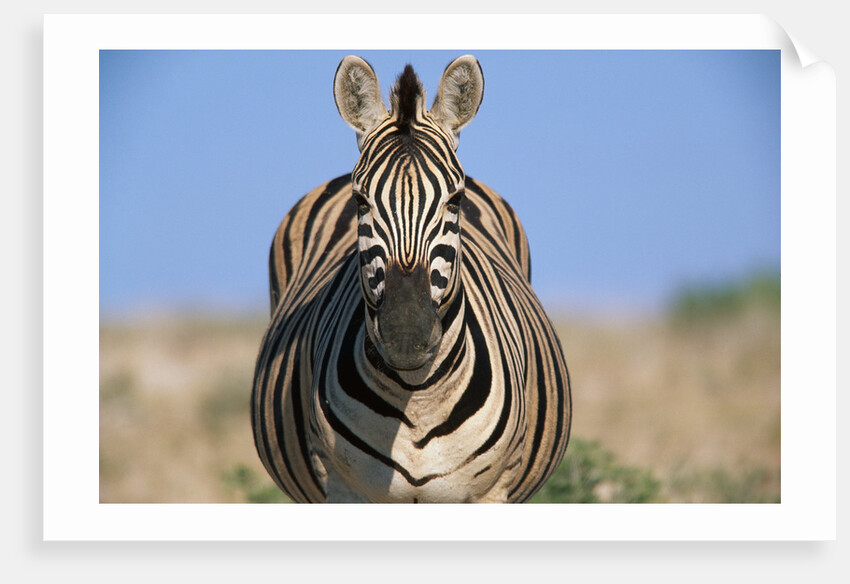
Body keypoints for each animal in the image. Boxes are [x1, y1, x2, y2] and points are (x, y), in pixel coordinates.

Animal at [251, 55, 571, 503]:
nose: (405, 336)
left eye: (456, 200)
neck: (417, 396)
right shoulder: (343, 489)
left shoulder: (492, 491)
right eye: (360, 200)